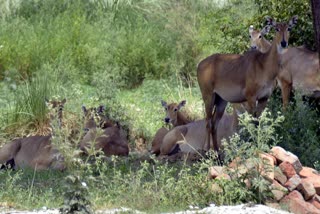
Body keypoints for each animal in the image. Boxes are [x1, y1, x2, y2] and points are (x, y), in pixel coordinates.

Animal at [196, 15, 298, 155]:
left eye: (289, 28)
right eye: (276, 28)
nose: (283, 43)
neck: (264, 65)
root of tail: (199, 65)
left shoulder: (264, 98)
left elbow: (258, 122)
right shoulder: (250, 97)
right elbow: (252, 123)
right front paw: (254, 147)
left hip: (221, 100)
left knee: (214, 123)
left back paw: (218, 153)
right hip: (208, 95)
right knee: (208, 121)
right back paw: (207, 151)